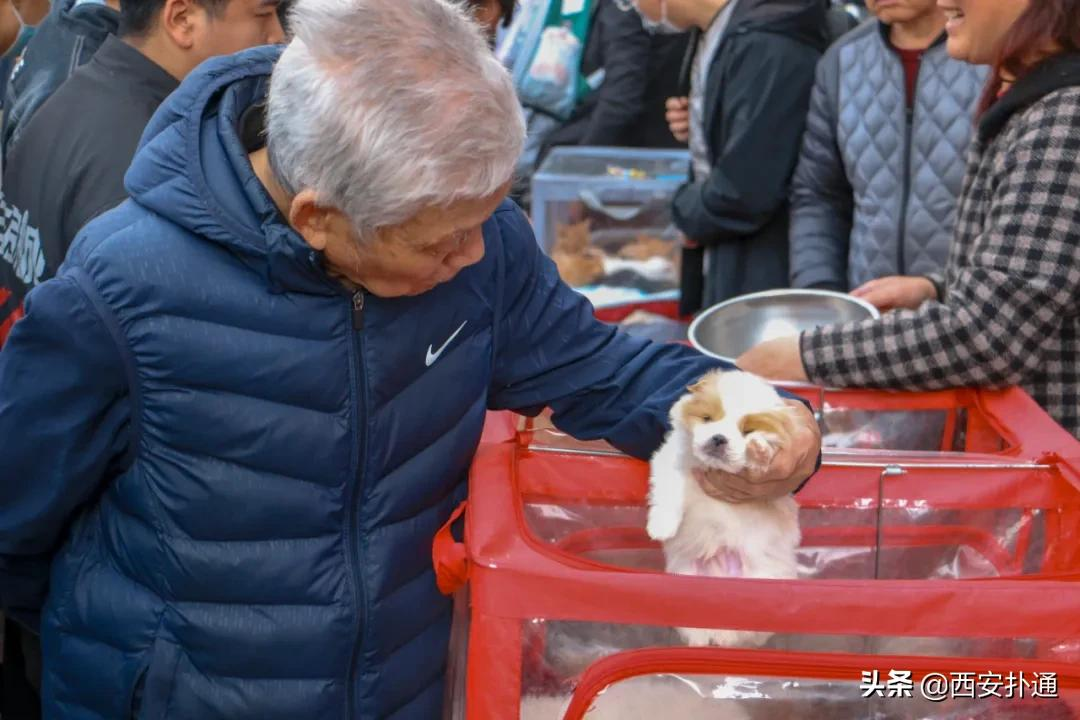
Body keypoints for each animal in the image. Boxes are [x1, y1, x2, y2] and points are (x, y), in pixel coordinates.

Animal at [639, 371, 803, 647]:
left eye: (747, 430)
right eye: (708, 419)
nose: (719, 438)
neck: (711, 468)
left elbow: (759, 461)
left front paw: (758, 447)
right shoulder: (672, 463)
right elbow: (669, 494)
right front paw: (661, 527)